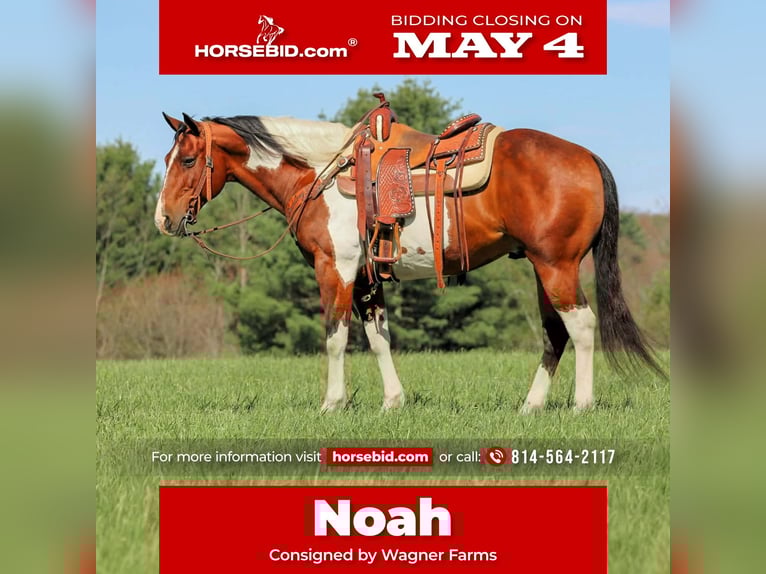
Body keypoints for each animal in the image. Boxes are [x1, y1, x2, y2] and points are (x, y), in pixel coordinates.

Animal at [154, 109, 664, 413]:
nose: (164, 219)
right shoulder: (367, 278)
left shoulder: (335, 268)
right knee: (555, 333)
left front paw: (332, 404)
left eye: (187, 160)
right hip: (544, 268)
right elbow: (379, 340)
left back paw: (582, 404)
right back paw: (531, 406)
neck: (318, 173)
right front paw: (393, 402)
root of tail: (588, 157)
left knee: (581, 326)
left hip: (556, 265)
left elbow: (335, 338)